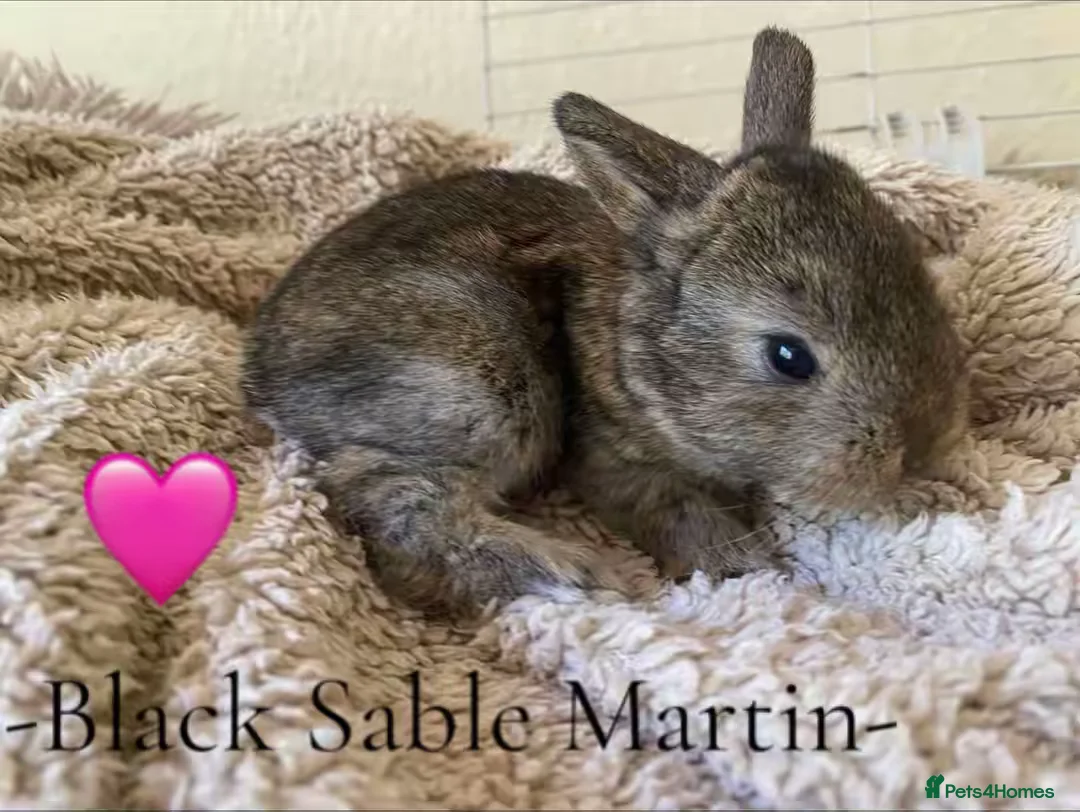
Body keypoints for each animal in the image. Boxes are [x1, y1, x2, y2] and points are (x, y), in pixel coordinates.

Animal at [241, 27, 968, 617]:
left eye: (919, 278)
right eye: (788, 357)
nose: (918, 451)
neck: (645, 342)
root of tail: (261, 376)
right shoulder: (615, 459)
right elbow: (682, 514)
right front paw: (753, 567)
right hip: (482, 385)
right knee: (395, 513)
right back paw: (580, 571)